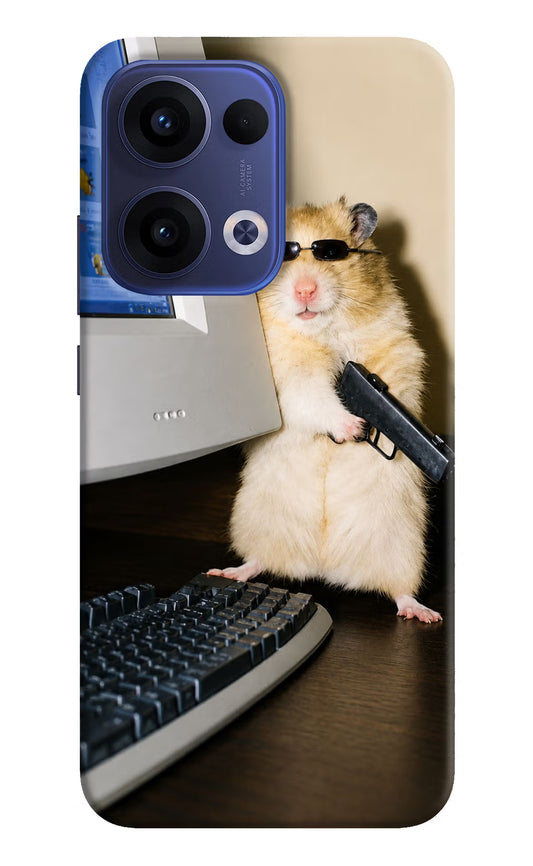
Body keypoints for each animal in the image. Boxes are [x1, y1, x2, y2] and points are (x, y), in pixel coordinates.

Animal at [209, 198, 442, 623]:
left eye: (331, 254)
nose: (305, 290)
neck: (322, 331)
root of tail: (324, 567)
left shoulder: (397, 349)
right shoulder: (288, 379)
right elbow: (314, 398)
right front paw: (353, 428)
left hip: (403, 545)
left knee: (400, 590)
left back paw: (423, 613)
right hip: (257, 522)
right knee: (258, 561)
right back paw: (228, 572)